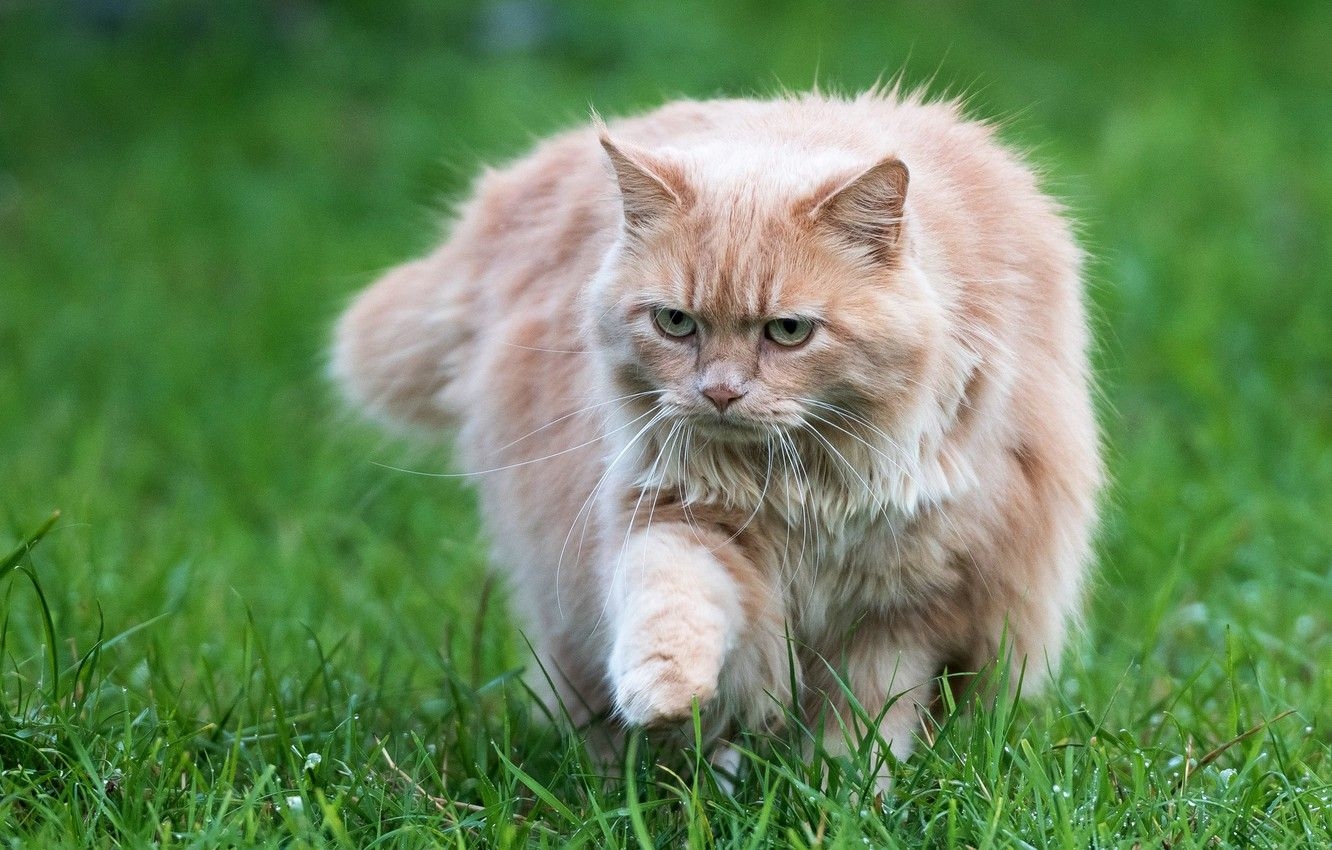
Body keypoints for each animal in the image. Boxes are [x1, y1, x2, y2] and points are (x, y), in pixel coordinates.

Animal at [333, 87, 1102, 788]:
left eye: (788, 331)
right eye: (676, 323)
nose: (721, 393)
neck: (812, 492)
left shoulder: (908, 607)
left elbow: (866, 722)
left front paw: (844, 797)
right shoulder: (687, 519)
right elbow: (672, 602)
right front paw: (664, 694)